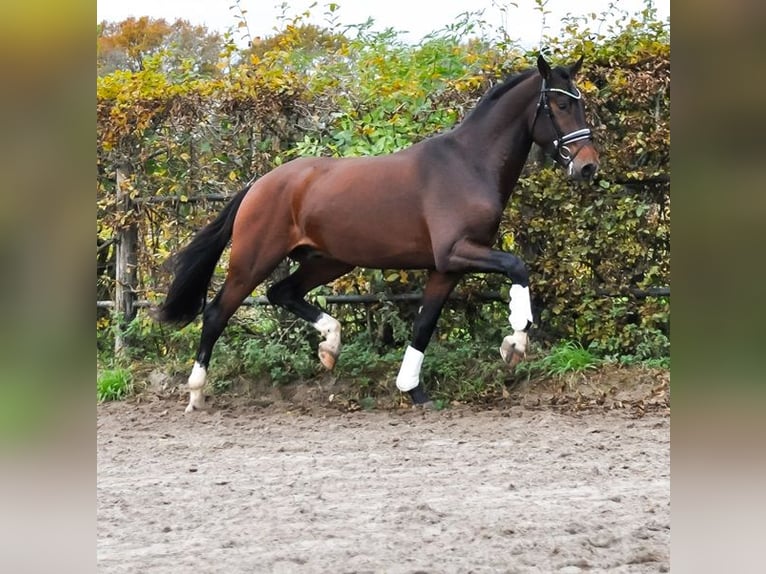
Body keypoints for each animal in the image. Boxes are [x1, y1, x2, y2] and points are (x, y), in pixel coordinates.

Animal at [154, 55, 600, 414]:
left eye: (580, 102)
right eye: (560, 104)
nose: (588, 166)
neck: (467, 165)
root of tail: (259, 183)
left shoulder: (447, 268)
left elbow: (424, 324)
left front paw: (414, 391)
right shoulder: (457, 252)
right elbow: (517, 266)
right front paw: (516, 341)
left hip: (329, 260)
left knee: (283, 292)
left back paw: (330, 345)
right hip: (253, 259)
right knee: (217, 312)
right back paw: (196, 393)